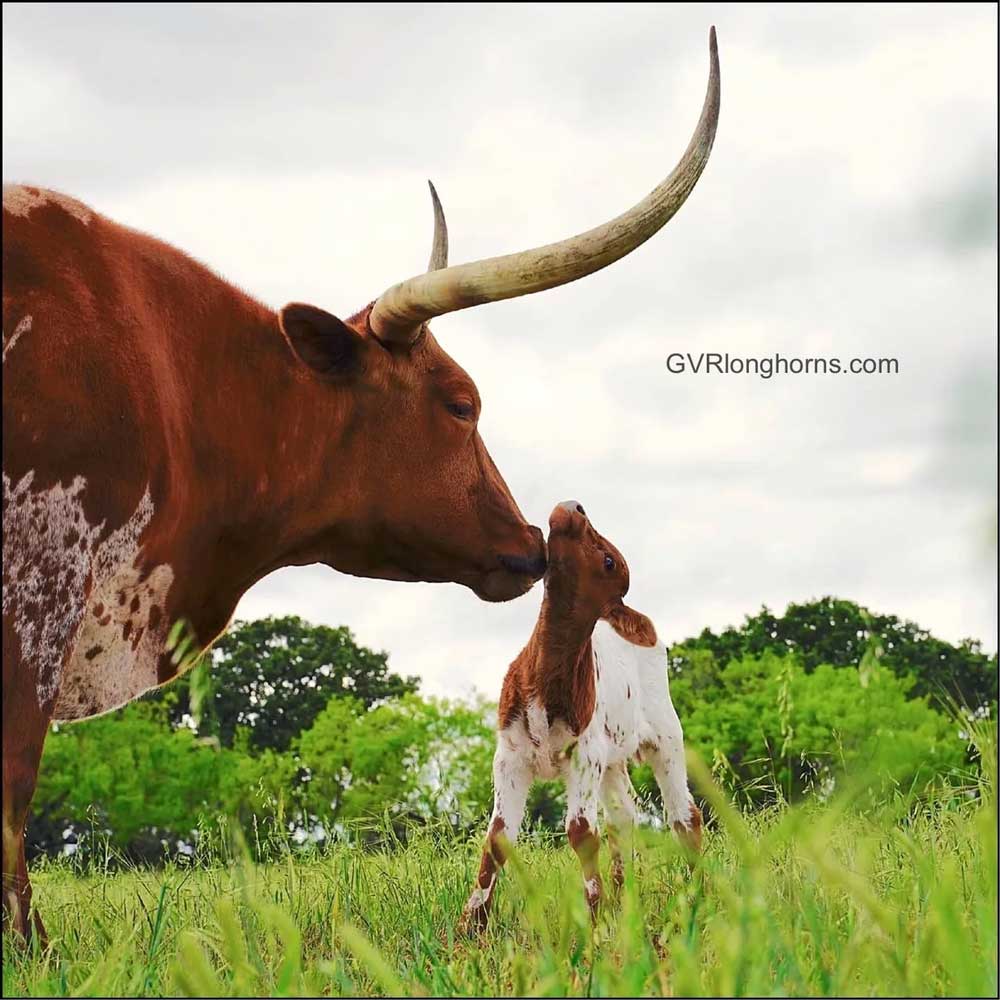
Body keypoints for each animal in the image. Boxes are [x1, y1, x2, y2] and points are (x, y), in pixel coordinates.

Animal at [462, 504, 704, 932]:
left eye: (608, 561)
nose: (574, 508)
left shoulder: (584, 755)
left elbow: (581, 833)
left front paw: (591, 924)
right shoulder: (509, 756)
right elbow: (498, 838)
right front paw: (471, 926)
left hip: (665, 735)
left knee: (684, 815)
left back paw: (697, 898)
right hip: (612, 757)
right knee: (623, 815)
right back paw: (624, 900)